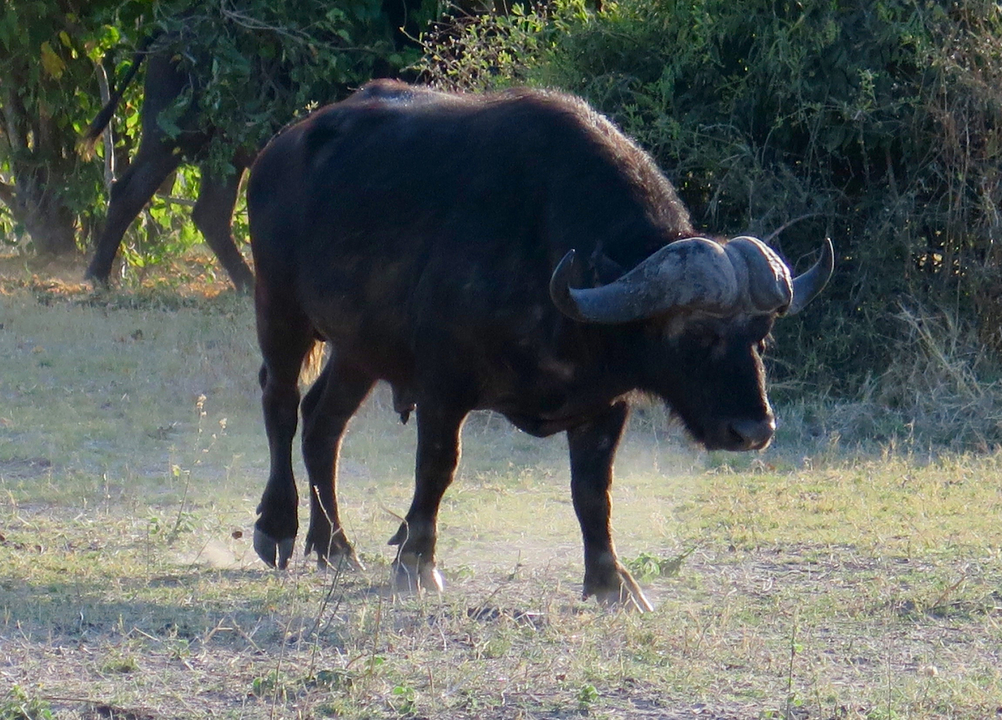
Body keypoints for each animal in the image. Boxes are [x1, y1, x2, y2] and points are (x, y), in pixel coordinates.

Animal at [248, 79, 833, 610]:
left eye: (762, 337)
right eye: (700, 335)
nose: (753, 430)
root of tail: (276, 151)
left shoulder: (605, 405)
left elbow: (593, 492)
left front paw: (611, 581)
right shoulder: (443, 389)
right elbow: (437, 470)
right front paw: (416, 564)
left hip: (357, 350)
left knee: (323, 423)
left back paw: (335, 546)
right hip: (279, 308)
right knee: (280, 405)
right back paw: (277, 528)